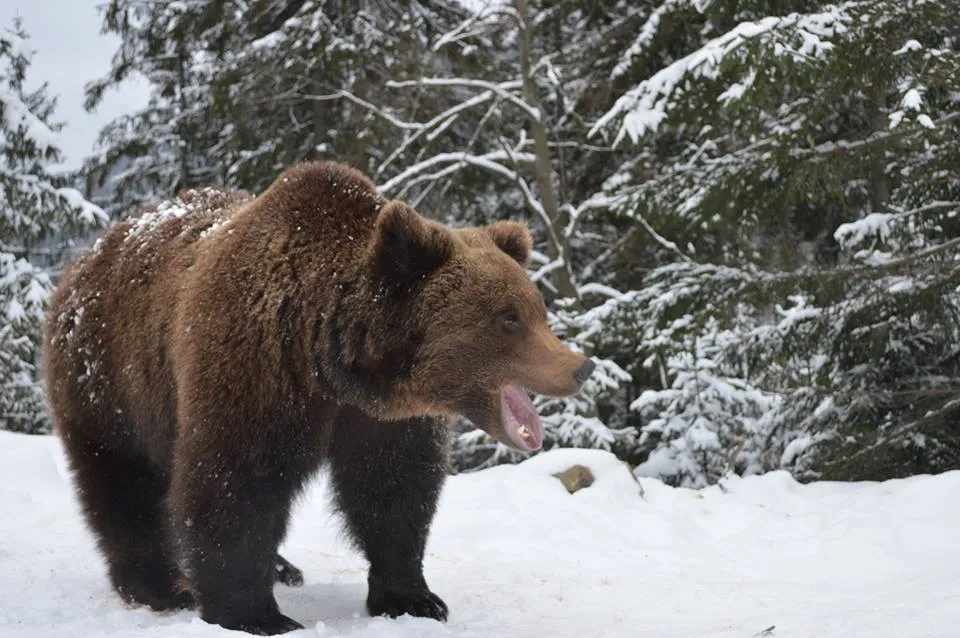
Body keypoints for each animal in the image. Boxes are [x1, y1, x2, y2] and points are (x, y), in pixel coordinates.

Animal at [43, 161, 592, 636]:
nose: (580, 367)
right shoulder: (254, 371)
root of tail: (82, 261)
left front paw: (413, 598)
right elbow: (235, 484)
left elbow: (394, 491)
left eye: (537, 310)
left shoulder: (383, 421)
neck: (331, 360)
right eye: (508, 319)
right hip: (111, 379)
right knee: (123, 483)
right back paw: (160, 585)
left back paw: (283, 567)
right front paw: (256, 614)